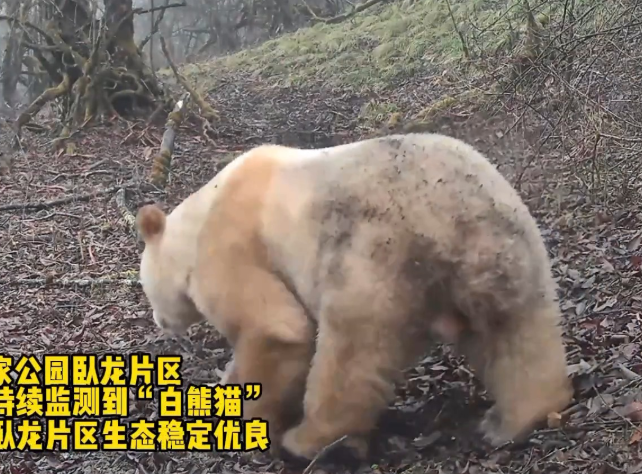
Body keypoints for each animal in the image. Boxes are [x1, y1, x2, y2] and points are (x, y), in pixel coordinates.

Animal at [136, 132, 574, 462]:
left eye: (145, 287)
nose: (158, 321)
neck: (204, 210)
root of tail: (452, 221)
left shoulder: (232, 246)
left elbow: (277, 329)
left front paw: (251, 417)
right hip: (509, 246)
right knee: (518, 335)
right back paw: (517, 418)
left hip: (370, 259)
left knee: (349, 355)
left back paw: (314, 441)